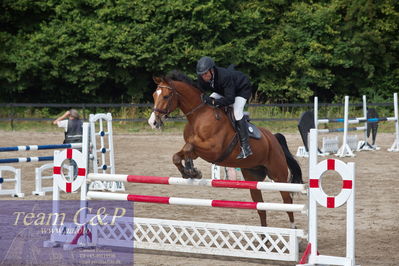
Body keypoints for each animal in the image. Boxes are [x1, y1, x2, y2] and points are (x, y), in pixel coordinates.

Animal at [148, 70, 304, 229]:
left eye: (166, 96)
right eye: (154, 95)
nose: (153, 122)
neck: (198, 116)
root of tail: (273, 138)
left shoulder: (213, 150)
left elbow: (189, 147)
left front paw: (192, 171)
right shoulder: (198, 150)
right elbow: (179, 155)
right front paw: (190, 172)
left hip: (278, 175)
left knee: (288, 202)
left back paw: (293, 228)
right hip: (252, 177)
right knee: (261, 208)